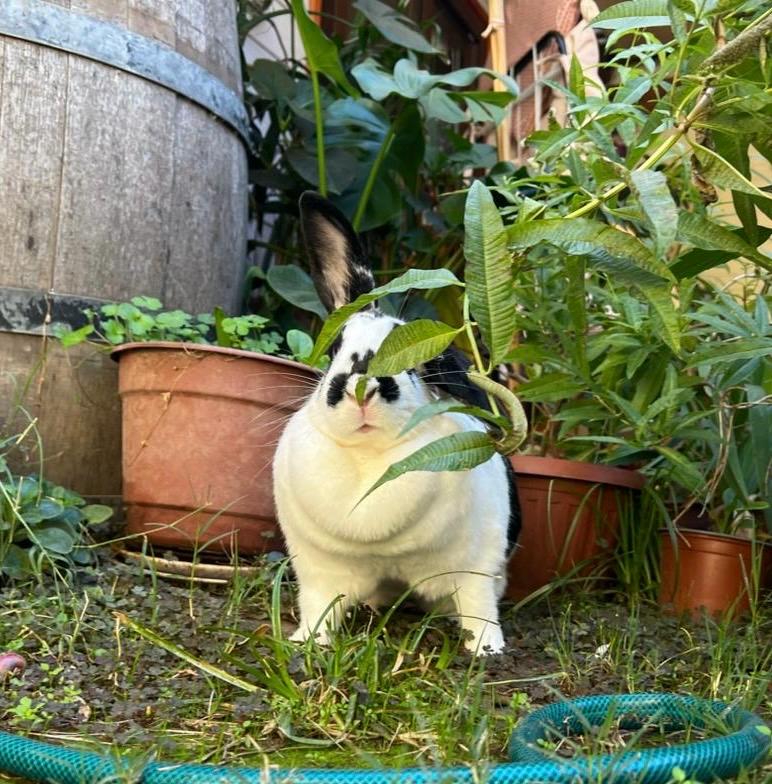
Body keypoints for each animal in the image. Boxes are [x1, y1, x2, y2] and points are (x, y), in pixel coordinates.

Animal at [273, 192, 521, 655]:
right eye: (334, 350)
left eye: (417, 363)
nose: (360, 389)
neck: (368, 462)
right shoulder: (318, 570)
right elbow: (319, 607)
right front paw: (307, 642)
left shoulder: (476, 564)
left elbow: (479, 607)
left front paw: (486, 649)